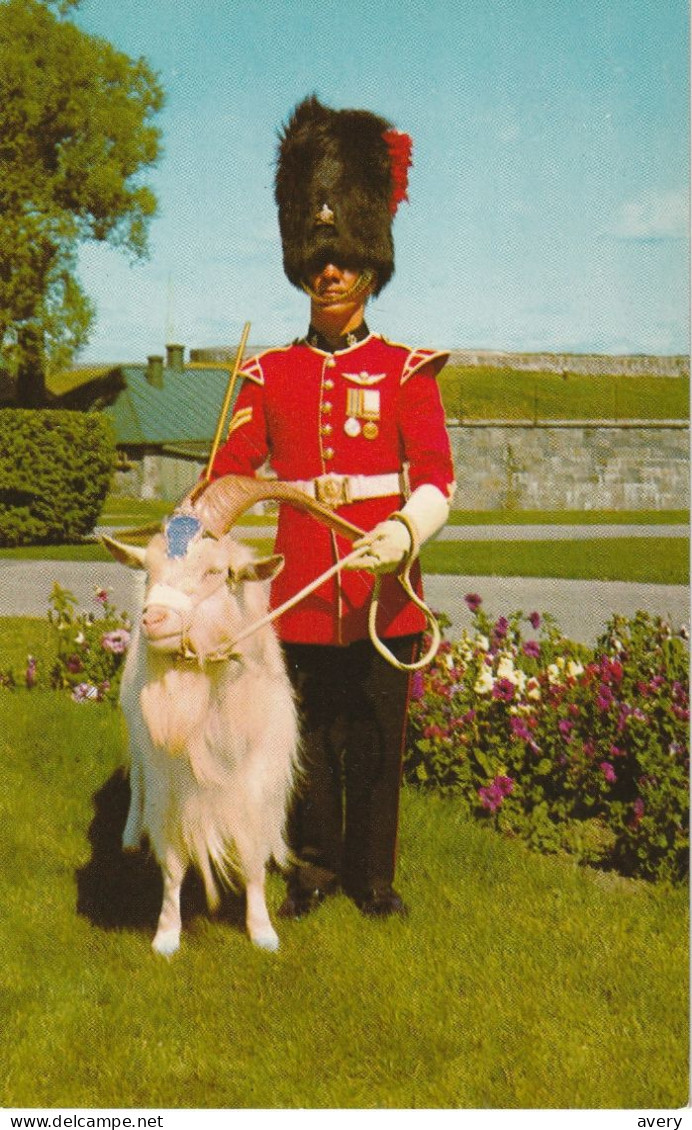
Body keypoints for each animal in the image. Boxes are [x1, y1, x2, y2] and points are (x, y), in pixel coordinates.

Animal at [103, 519, 296, 953]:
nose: (153, 618)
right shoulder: (169, 790)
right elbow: (173, 865)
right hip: (138, 738)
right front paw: (166, 935)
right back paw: (129, 836)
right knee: (136, 780)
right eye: (150, 569)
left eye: (215, 572)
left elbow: (252, 856)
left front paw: (262, 931)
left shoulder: (257, 784)